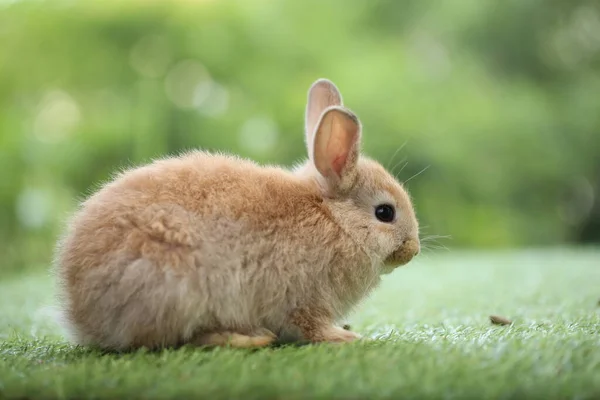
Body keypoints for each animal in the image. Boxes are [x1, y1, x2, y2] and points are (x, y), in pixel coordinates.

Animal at [54, 78, 420, 350]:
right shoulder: (304, 299)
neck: (334, 218)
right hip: (176, 288)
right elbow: (311, 327)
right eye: (384, 213)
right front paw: (346, 336)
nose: (414, 250)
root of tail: (80, 316)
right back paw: (247, 338)